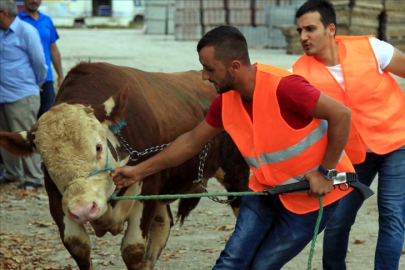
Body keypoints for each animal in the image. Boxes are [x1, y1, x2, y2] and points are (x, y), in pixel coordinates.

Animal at [0, 62, 248, 268]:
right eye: (45, 160)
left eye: (98, 147)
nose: (83, 209)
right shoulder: (57, 199)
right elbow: (78, 245)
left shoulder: (148, 189)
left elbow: (133, 249)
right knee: (162, 226)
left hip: (237, 177)